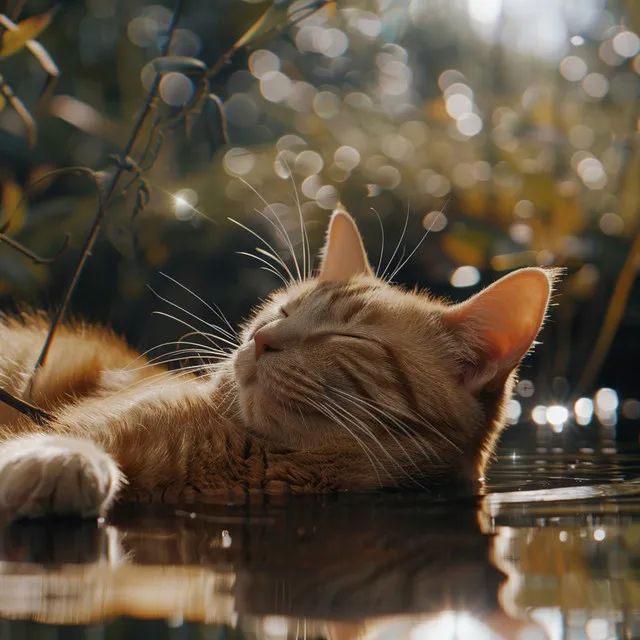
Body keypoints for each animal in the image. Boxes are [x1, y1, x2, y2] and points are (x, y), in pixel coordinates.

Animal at [0, 210, 556, 520]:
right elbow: (68, 438)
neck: (248, 454)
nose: (261, 340)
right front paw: (56, 460)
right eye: (283, 310)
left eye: (347, 337)